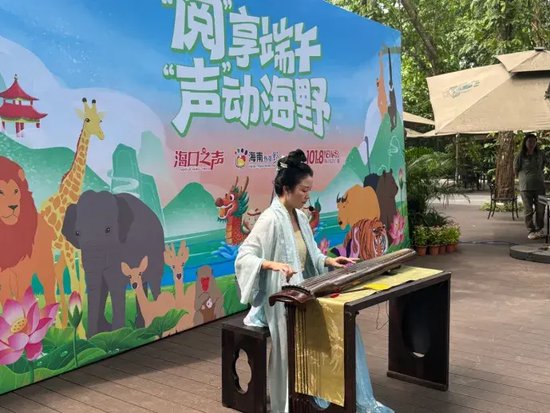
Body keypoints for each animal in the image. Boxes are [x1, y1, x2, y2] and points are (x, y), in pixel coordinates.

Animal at [0, 157, 57, 306]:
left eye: (16, 190)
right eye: (0, 192)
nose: (13, 206)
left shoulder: (22, 270)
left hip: (46, 263)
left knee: (49, 287)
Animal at [40, 97, 104, 334]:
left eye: (99, 119)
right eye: (87, 119)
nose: (102, 135)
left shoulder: (81, 247)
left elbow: (83, 283)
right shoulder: (70, 248)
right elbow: (77, 283)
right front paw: (83, 332)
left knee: (58, 274)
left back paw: (62, 322)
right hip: (50, 248)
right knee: (51, 276)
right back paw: (56, 323)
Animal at [62, 190, 164, 337]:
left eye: (108, 230)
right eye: (77, 233)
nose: (89, 337)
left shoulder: (120, 249)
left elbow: (115, 283)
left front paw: (117, 333)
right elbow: (101, 286)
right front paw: (104, 333)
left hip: (157, 250)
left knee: (154, 280)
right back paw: (141, 326)